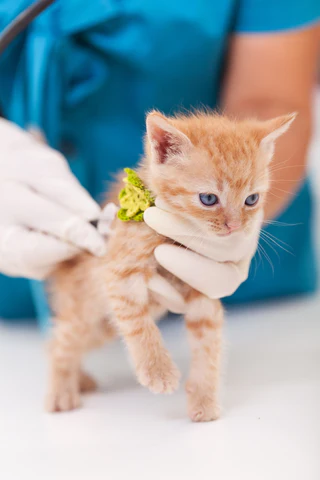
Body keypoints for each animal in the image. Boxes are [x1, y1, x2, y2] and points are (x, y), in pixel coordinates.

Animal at [45, 110, 296, 422]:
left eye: (252, 199)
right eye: (208, 198)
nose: (235, 227)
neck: (178, 237)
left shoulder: (205, 289)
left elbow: (208, 347)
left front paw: (204, 399)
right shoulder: (118, 274)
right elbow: (138, 325)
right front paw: (157, 371)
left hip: (101, 327)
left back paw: (79, 380)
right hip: (85, 311)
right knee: (60, 342)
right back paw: (61, 391)